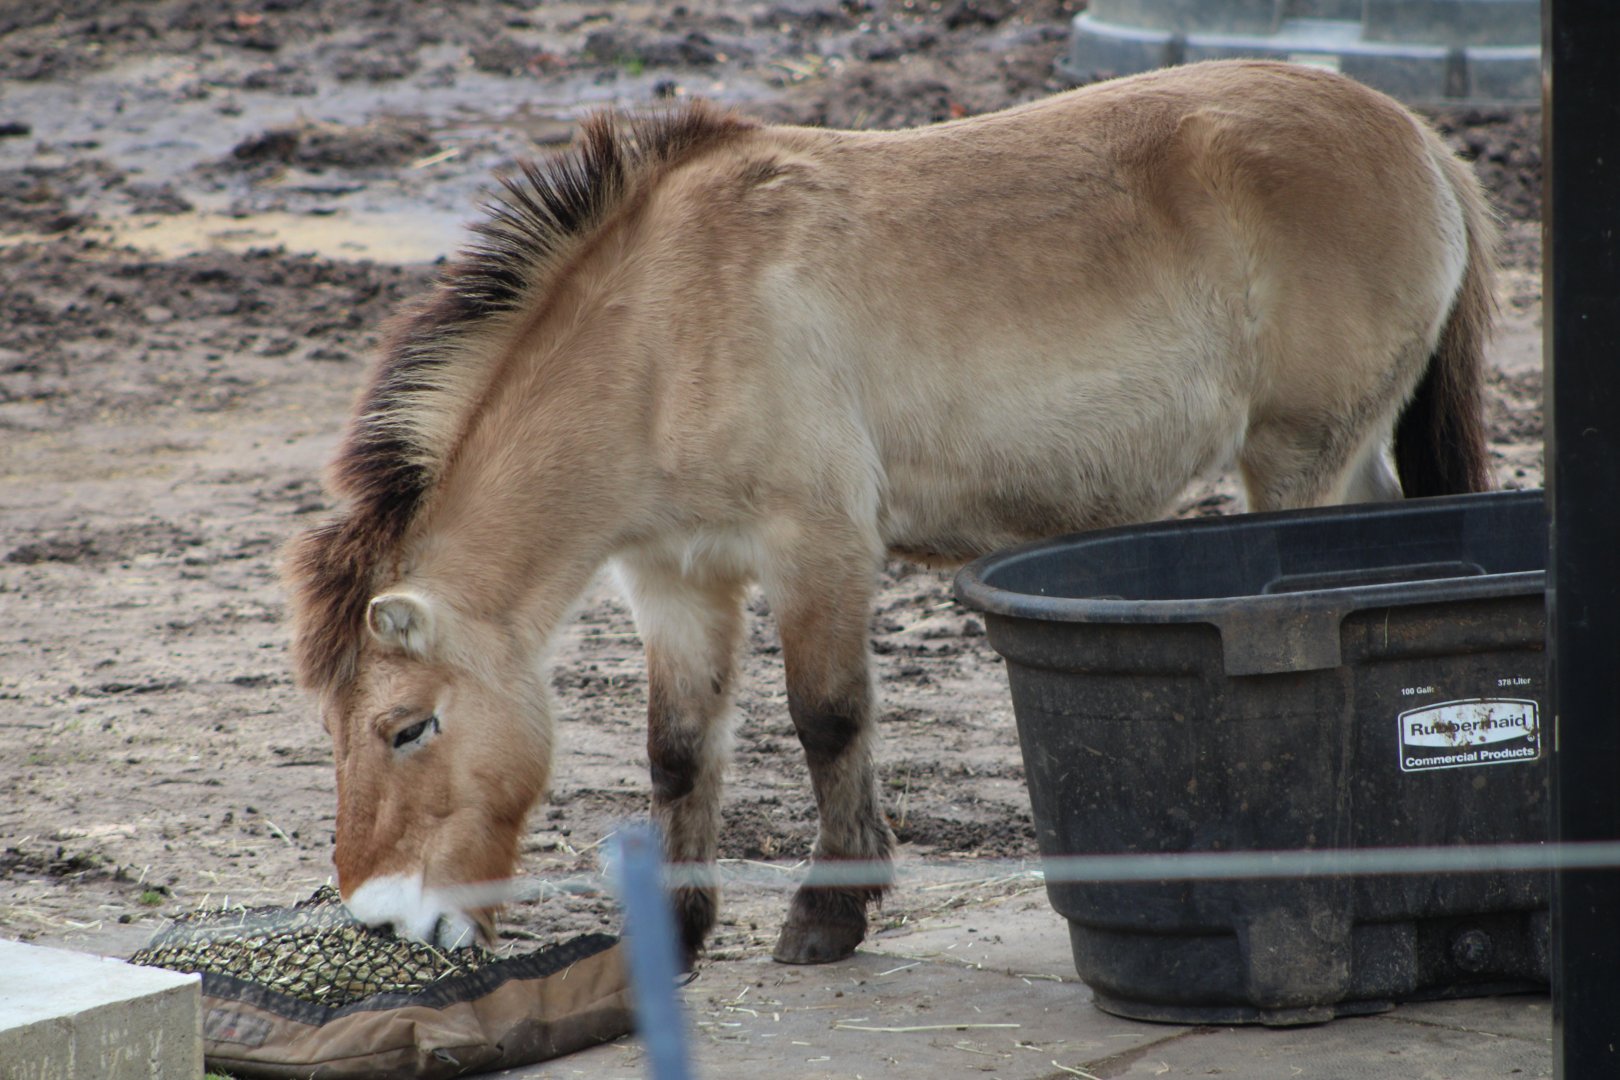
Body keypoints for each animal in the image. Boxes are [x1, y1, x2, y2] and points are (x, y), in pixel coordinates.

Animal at [282, 59, 1495, 965]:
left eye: (408, 727)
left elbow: (828, 720)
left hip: (1295, 462)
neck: (665, 333)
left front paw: (830, 911)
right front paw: (677, 932)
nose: (383, 918)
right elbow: (679, 749)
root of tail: (1422, 141)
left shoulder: (815, 545)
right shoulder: (675, 577)